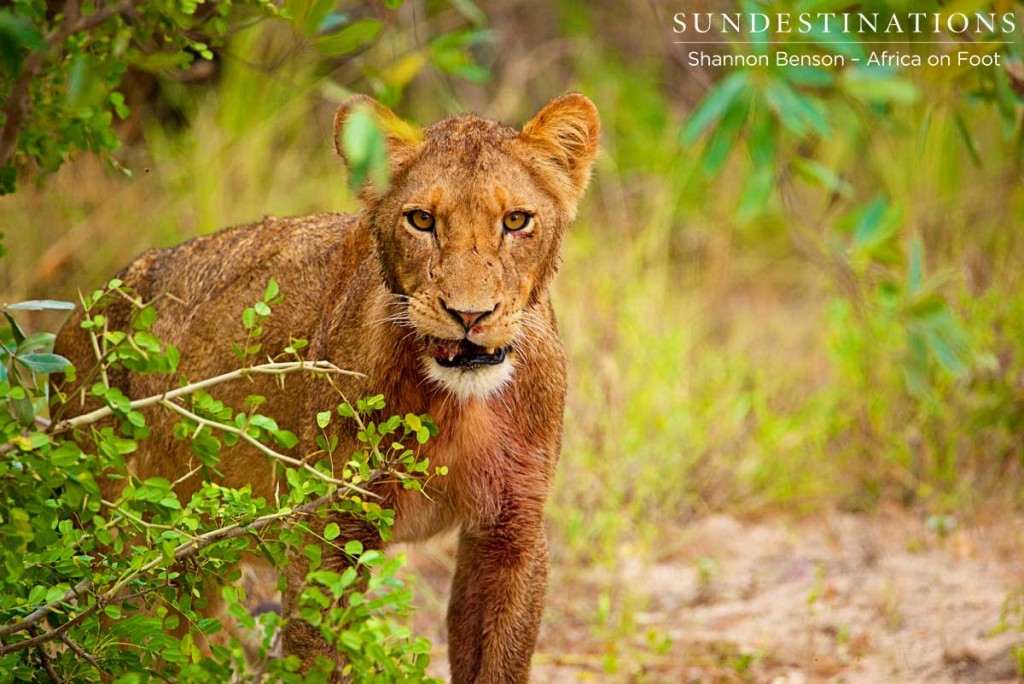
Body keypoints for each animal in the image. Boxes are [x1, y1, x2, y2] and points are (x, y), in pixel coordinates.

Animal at [54, 93, 598, 679]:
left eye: (516, 220)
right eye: (422, 220)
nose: (469, 315)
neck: (459, 403)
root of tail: (83, 311)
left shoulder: (510, 531)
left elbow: (499, 661)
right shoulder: (329, 531)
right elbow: (317, 653)